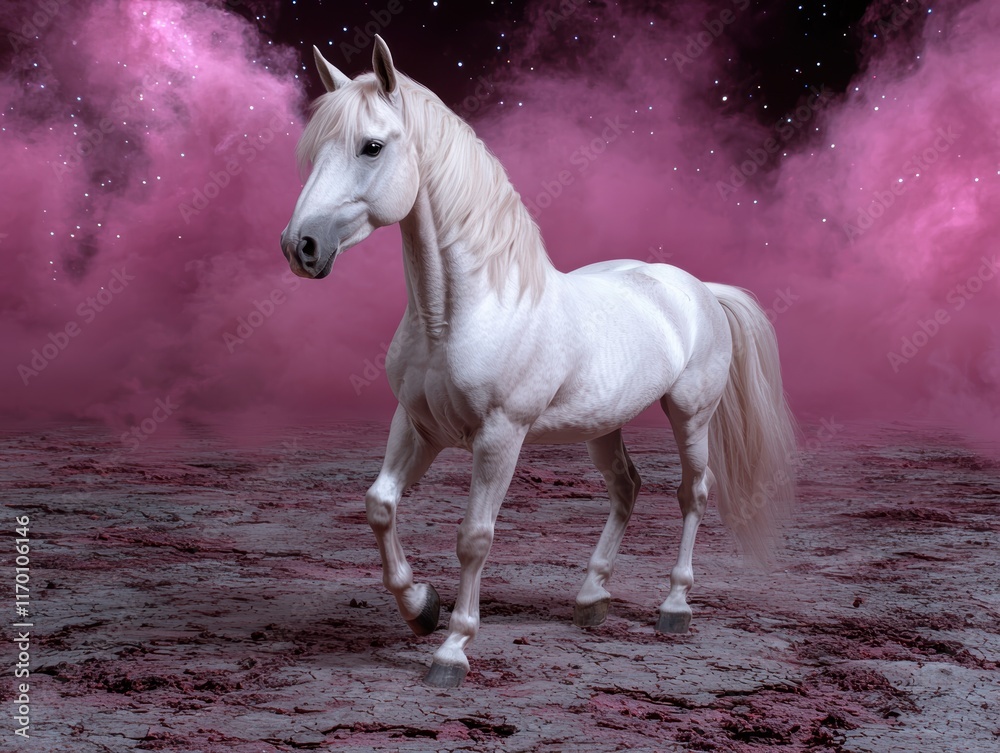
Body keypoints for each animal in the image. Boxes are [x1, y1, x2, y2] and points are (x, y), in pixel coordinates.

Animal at [280, 36, 797, 688]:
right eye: (313, 150)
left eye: (371, 146)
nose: (300, 247)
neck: (461, 312)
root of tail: (698, 286)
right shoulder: (417, 425)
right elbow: (380, 504)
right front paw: (421, 607)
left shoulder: (500, 435)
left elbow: (474, 537)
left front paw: (452, 649)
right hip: (603, 425)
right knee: (626, 488)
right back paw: (590, 599)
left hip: (690, 414)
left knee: (692, 493)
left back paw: (674, 606)